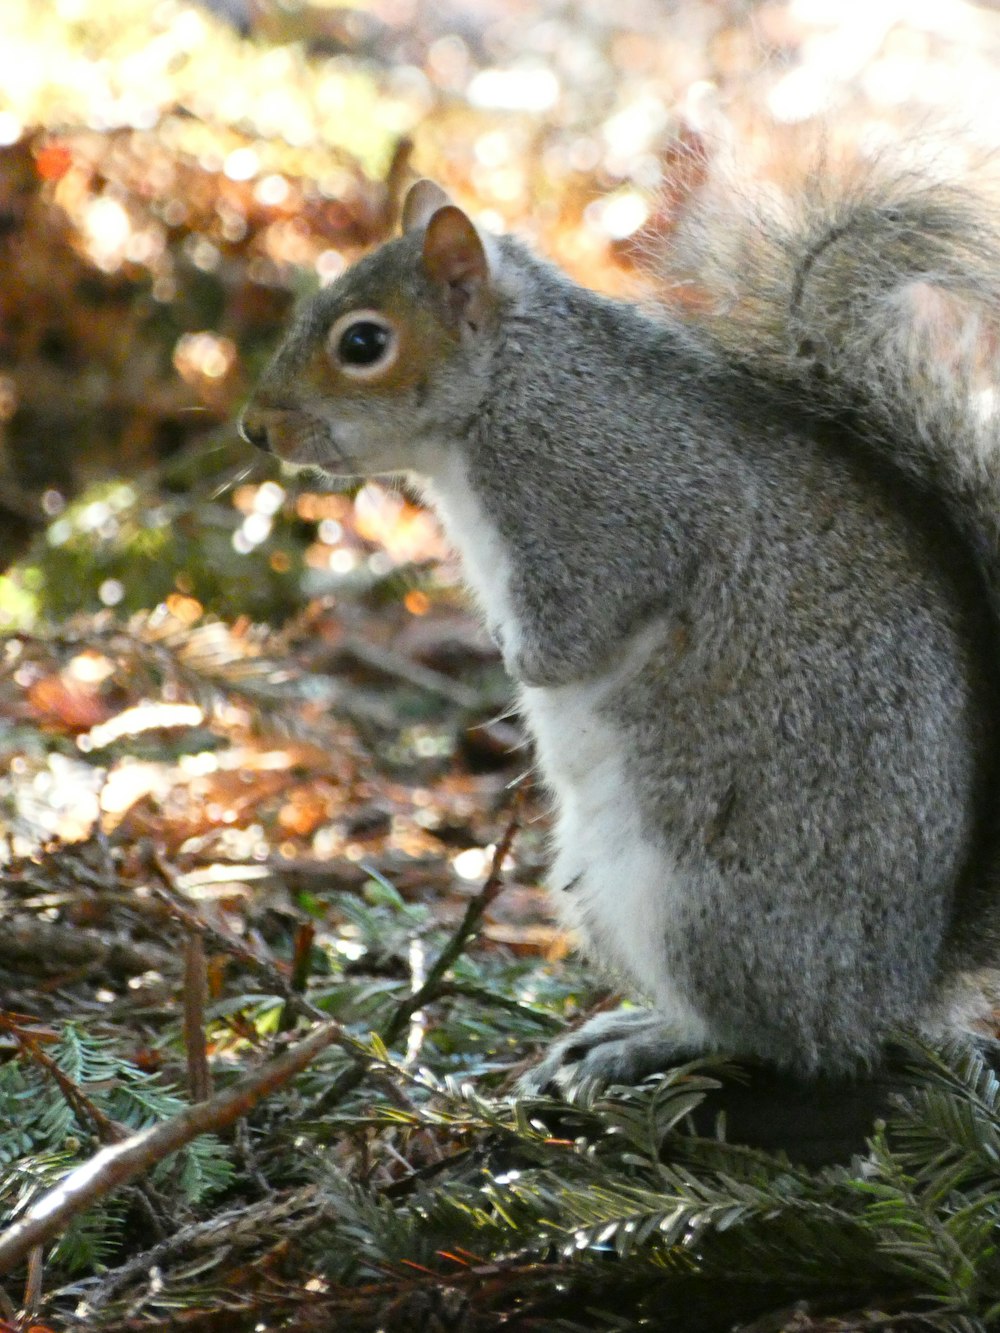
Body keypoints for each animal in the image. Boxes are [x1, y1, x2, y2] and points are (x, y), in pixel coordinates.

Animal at [242, 143, 1000, 1157]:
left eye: (362, 344)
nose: (256, 426)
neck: (513, 384)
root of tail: (902, 985)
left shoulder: (609, 512)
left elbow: (571, 638)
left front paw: (517, 666)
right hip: (596, 888)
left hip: (700, 910)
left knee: (785, 1041)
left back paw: (650, 1042)